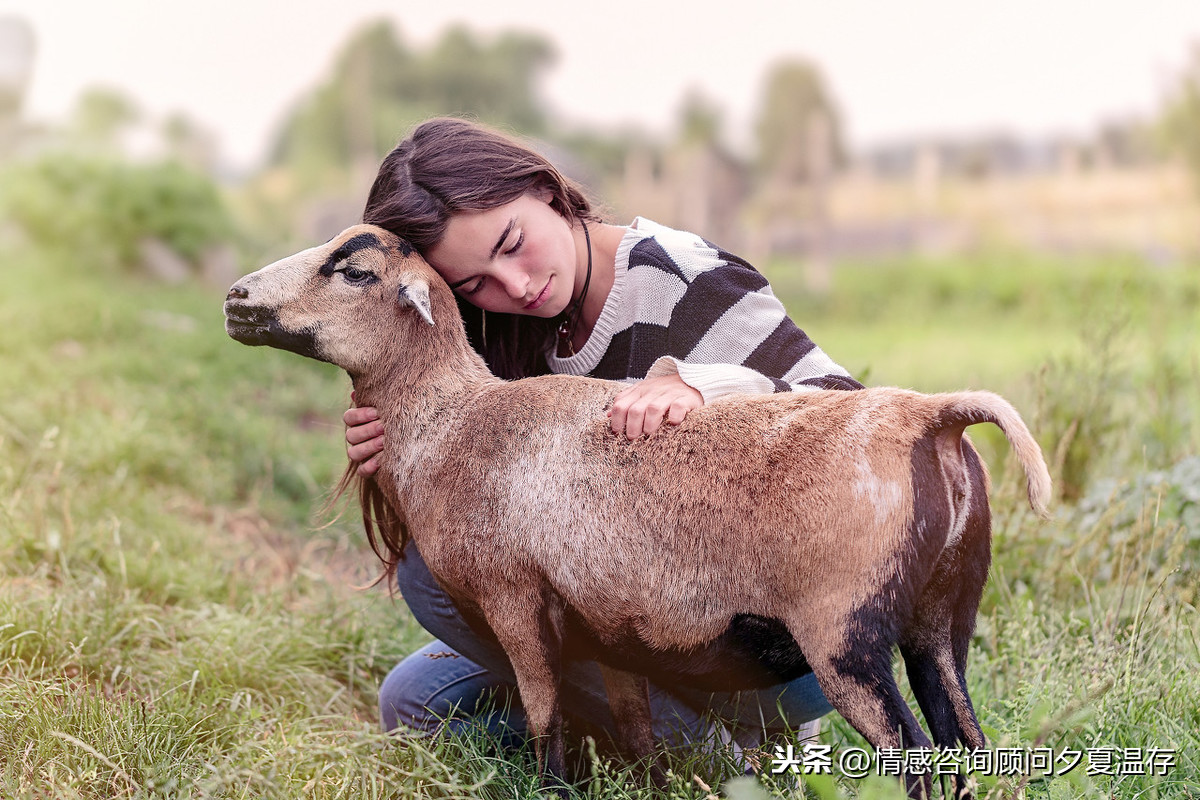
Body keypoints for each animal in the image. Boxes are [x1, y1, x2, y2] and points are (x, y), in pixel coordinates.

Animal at [225, 221, 1051, 796]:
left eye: (356, 271)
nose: (235, 300)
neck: (452, 420)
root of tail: (932, 417)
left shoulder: (514, 599)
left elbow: (546, 722)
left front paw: (553, 791)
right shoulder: (609, 633)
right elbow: (636, 734)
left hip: (844, 634)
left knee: (918, 760)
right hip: (941, 621)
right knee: (972, 745)